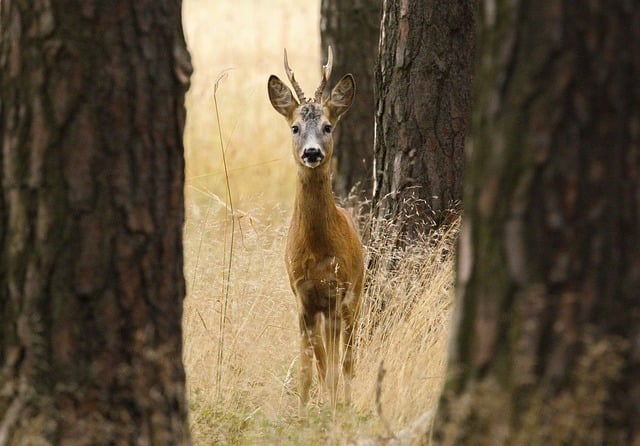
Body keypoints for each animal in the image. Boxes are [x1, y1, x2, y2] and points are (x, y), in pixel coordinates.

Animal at [266, 47, 364, 410]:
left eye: (327, 126)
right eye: (294, 127)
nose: (311, 152)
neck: (317, 250)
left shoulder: (337, 293)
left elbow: (335, 366)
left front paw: (334, 409)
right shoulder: (303, 297)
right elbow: (309, 368)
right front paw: (305, 409)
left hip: (356, 296)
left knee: (348, 359)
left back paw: (346, 403)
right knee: (326, 359)